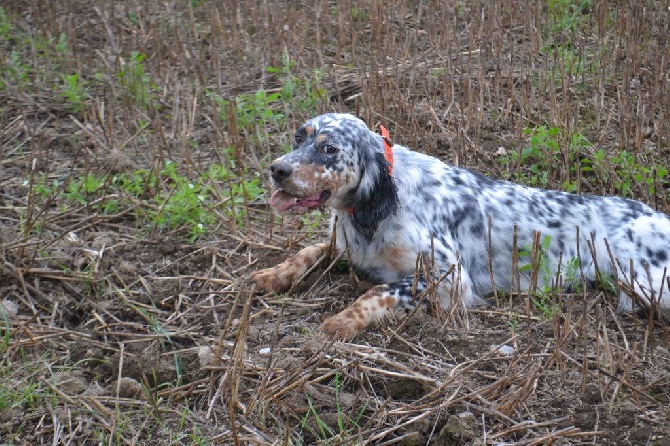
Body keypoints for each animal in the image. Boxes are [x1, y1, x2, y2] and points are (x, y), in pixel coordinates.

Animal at [251, 112, 670, 338]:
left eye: (329, 149)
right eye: (298, 138)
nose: (277, 170)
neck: (374, 208)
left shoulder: (450, 277)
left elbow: (379, 291)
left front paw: (341, 322)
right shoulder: (345, 245)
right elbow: (309, 250)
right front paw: (271, 275)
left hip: (646, 282)